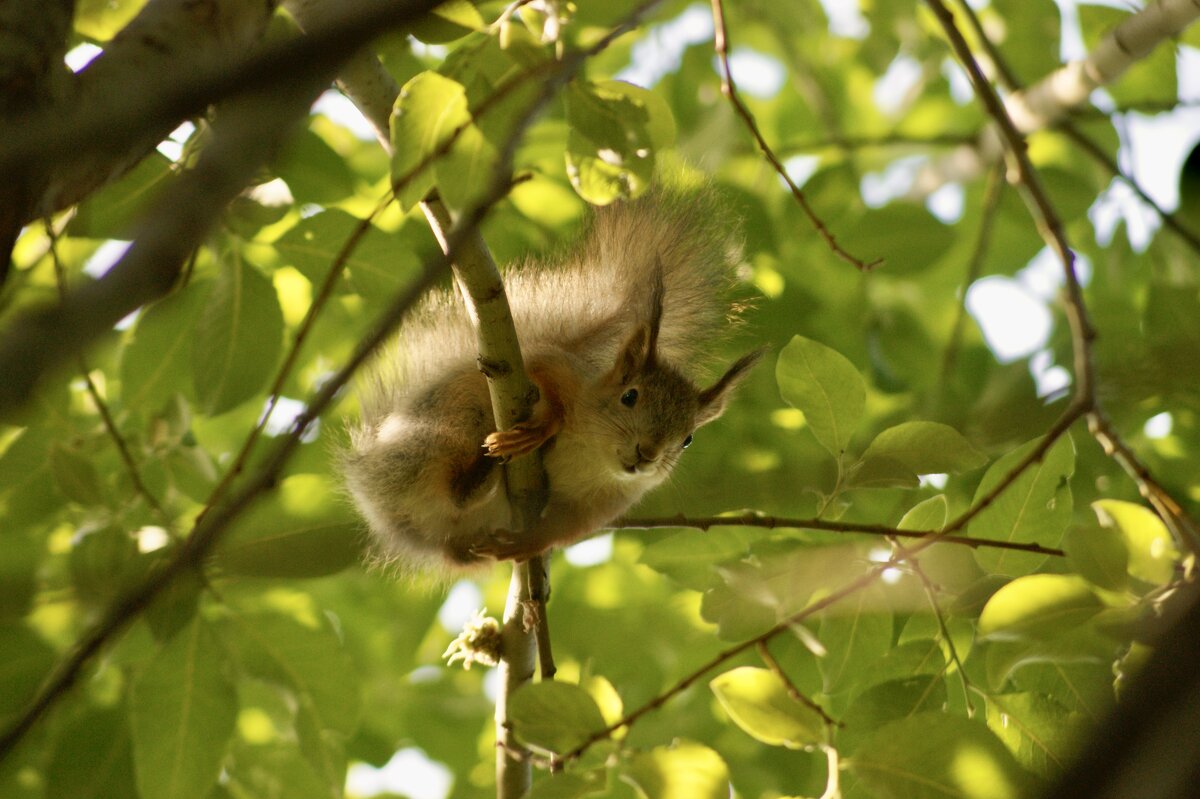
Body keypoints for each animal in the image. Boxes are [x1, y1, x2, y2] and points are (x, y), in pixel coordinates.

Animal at [348, 179, 758, 568]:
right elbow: (542, 373)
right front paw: (545, 427)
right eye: (629, 396)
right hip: (446, 426)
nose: (648, 455)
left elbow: (562, 529)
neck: (594, 455)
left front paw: (527, 544)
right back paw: (484, 472)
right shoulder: (559, 369)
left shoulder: (603, 502)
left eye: (688, 439)